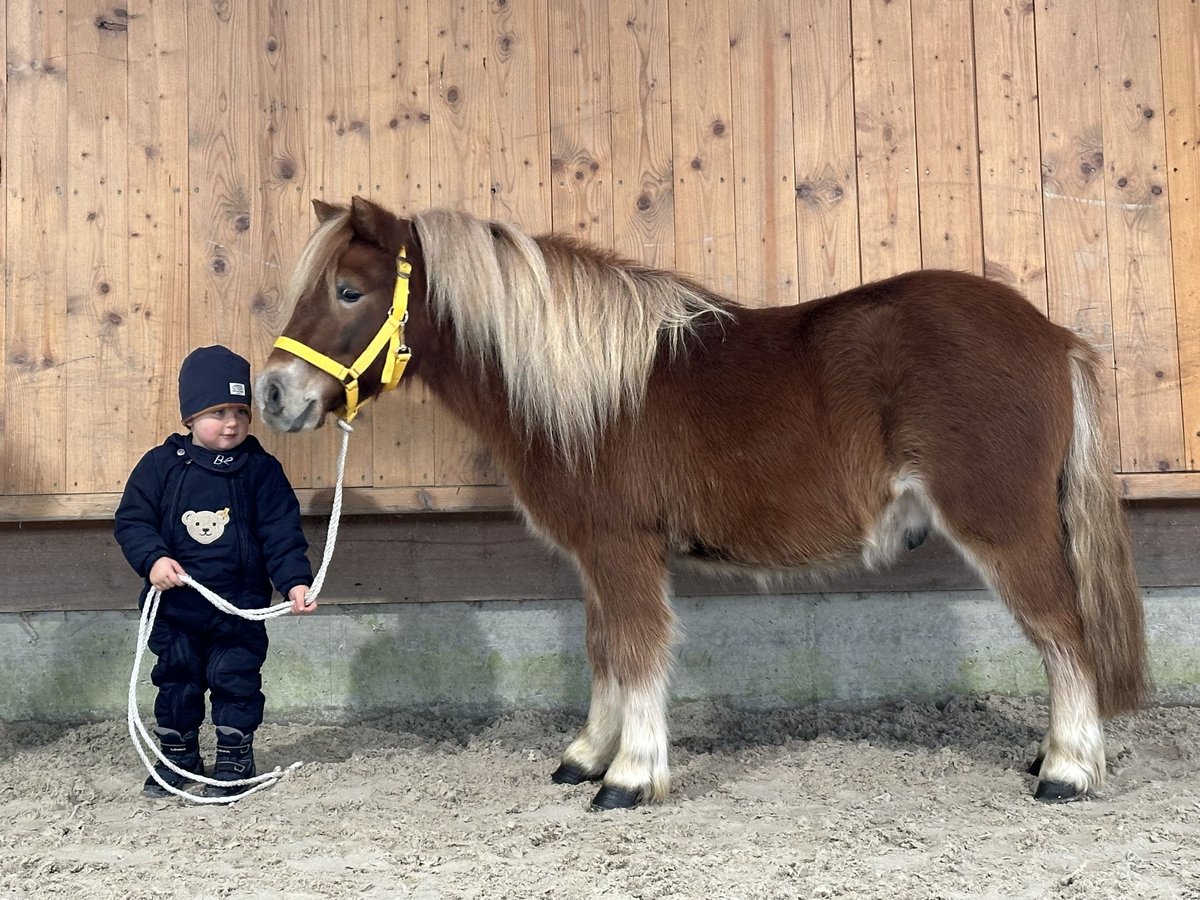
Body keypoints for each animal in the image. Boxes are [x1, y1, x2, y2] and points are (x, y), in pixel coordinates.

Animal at [258, 195, 1147, 811]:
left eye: (348, 291)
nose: (271, 394)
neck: (590, 390)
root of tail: (1053, 337)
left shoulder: (622, 547)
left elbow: (638, 650)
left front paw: (630, 776)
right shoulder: (597, 555)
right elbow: (603, 651)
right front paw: (588, 754)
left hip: (1004, 528)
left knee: (1064, 634)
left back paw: (1068, 768)